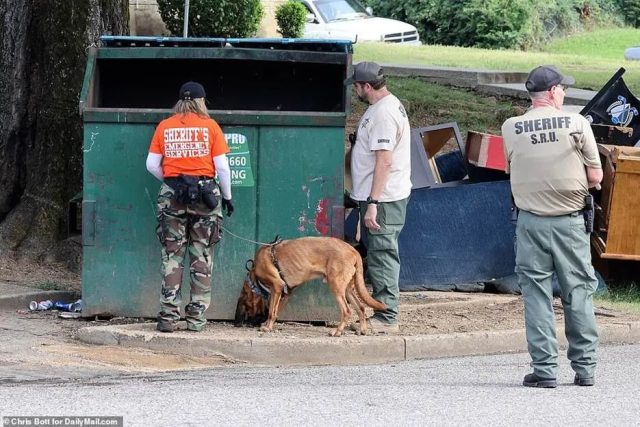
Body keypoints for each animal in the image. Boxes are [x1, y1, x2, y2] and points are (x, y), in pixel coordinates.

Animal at [235, 236, 384, 336]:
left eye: (243, 303)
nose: (236, 323)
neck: (255, 277)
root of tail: (353, 250)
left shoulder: (277, 286)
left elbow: (272, 311)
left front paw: (267, 327)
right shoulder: (285, 293)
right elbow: (275, 311)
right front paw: (268, 325)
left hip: (336, 286)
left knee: (346, 311)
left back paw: (337, 331)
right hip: (347, 289)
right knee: (361, 307)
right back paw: (363, 330)